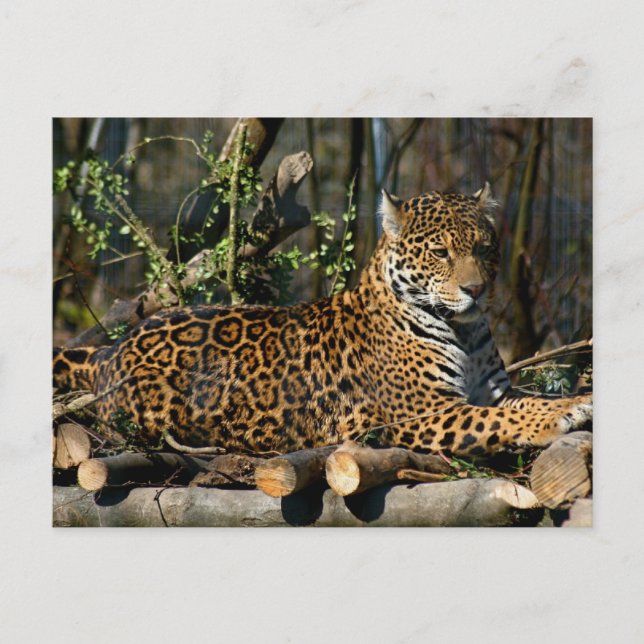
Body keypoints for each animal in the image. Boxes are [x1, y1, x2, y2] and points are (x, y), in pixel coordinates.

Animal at [53, 184, 592, 457]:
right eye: (440, 252)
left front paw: (575, 400)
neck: (464, 327)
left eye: (483, 248)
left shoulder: (494, 389)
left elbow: (528, 398)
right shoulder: (421, 413)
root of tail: (111, 349)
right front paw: (560, 417)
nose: (476, 290)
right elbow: (501, 418)